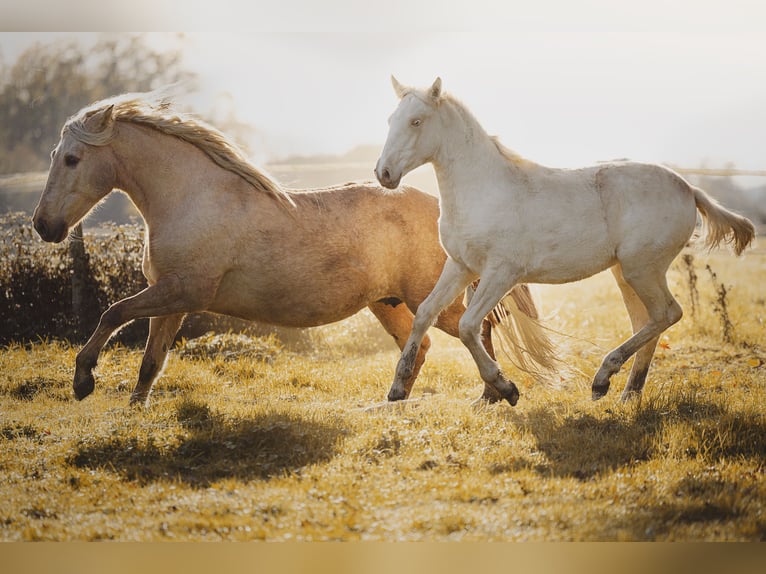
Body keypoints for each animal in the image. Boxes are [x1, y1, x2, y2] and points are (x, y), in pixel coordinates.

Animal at [31, 94, 552, 408]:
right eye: (57, 156)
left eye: (72, 159)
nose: (44, 226)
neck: (192, 197)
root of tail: (438, 204)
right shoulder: (171, 297)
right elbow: (150, 361)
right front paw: (135, 410)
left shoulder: (183, 291)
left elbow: (112, 314)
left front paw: (83, 381)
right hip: (387, 304)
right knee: (421, 343)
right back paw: (399, 398)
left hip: (430, 297)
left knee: (476, 328)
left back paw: (494, 394)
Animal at [376, 76, 760, 408]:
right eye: (391, 119)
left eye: (416, 121)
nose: (384, 174)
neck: (483, 189)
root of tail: (689, 188)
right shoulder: (461, 266)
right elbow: (425, 313)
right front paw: (397, 389)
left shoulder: (502, 273)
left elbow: (468, 326)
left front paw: (507, 388)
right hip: (627, 273)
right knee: (648, 321)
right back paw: (627, 393)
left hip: (642, 270)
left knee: (667, 313)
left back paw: (602, 379)